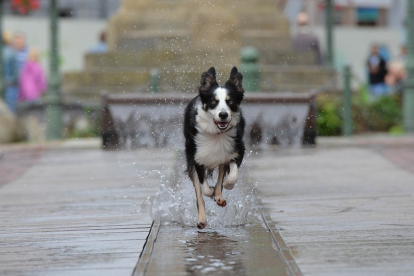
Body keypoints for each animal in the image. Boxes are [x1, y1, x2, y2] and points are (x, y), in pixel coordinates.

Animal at [183, 67, 244, 229]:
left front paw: (227, 186)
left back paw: (219, 197)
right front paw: (209, 191)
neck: (217, 134)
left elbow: (231, 175)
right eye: (213, 102)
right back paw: (202, 219)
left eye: (230, 101)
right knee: (199, 193)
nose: (223, 114)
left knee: (220, 177)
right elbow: (203, 187)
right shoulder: (197, 157)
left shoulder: (237, 149)